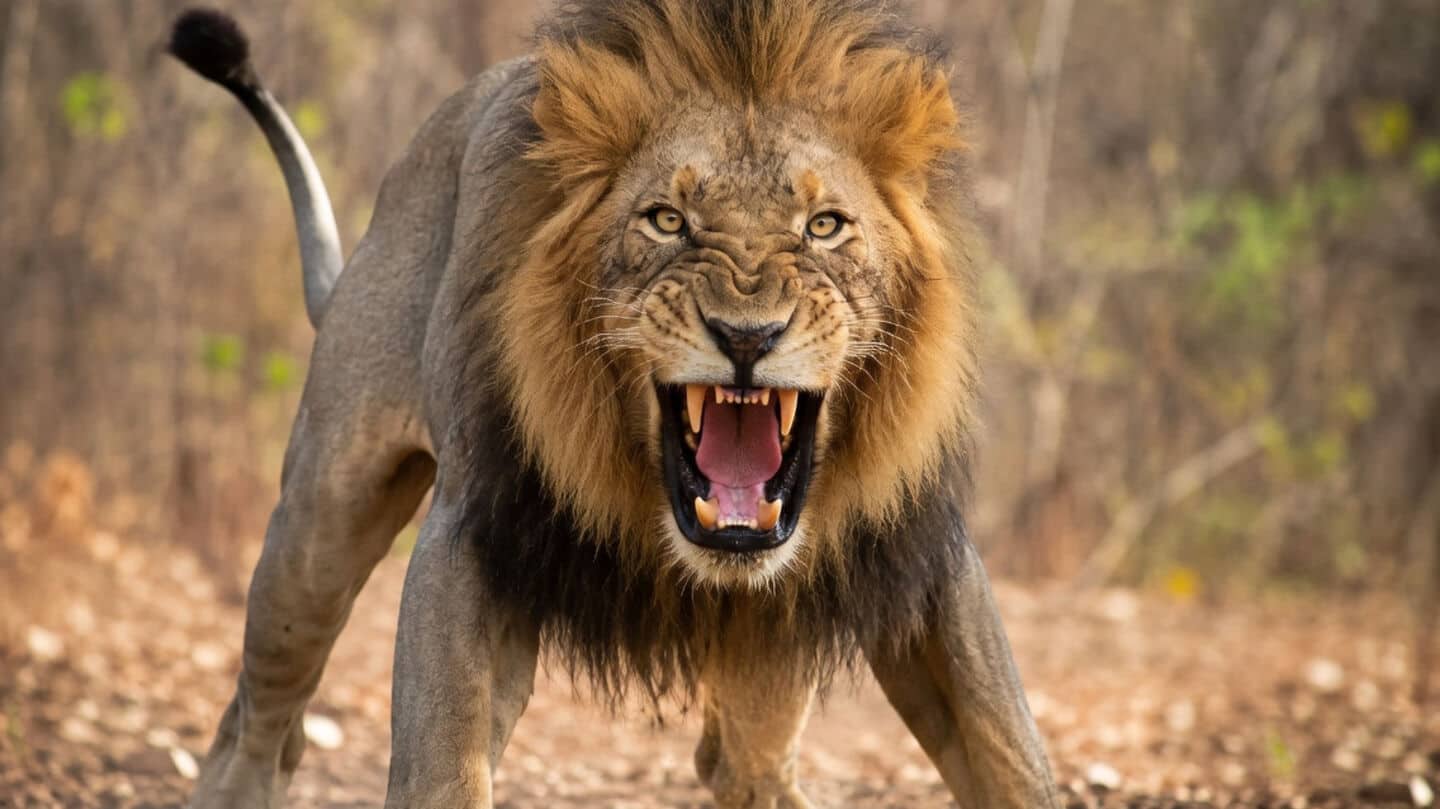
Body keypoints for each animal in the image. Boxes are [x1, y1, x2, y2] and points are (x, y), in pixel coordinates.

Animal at [167, 2, 1061, 807]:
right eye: (666, 220)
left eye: (825, 225)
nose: (747, 334)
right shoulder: (476, 532)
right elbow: (443, 764)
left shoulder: (920, 548)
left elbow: (1008, 750)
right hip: (320, 521)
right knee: (258, 721)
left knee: (744, 767)